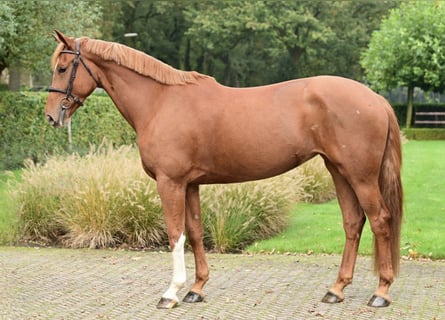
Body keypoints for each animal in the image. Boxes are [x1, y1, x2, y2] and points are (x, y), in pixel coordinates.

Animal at [45, 31, 402, 308]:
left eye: (63, 67)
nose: (51, 116)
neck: (160, 101)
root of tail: (375, 98)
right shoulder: (189, 184)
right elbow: (195, 231)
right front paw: (196, 289)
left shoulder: (169, 182)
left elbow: (175, 234)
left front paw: (171, 293)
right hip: (338, 171)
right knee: (353, 222)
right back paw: (336, 289)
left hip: (360, 176)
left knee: (380, 220)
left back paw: (381, 292)